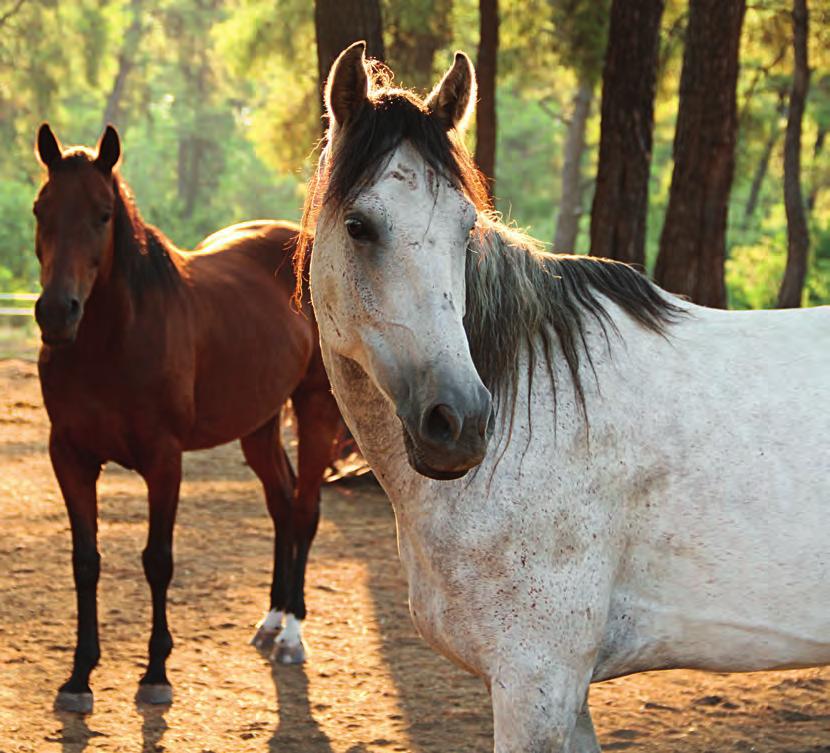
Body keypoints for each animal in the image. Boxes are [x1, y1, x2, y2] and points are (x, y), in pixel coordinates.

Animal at [33, 123, 342, 712]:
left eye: (103, 214)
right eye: (41, 209)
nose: (56, 313)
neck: (113, 342)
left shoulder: (163, 460)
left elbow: (158, 560)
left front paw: (155, 674)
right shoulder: (70, 458)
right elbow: (86, 562)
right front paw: (78, 677)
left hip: (316, 410)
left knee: (306, 508)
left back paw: (292, 633)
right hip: (258, 425)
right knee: (281, 502)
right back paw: (271, 619)